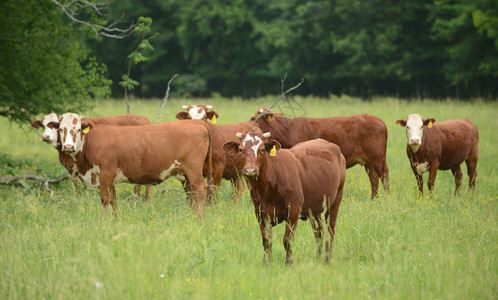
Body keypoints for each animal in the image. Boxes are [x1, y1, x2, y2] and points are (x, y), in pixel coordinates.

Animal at [50, 112, 212, 218]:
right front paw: (115, 221)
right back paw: (191, 216)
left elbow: (105, 199)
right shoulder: (110, 178)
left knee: (200, 189)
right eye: (60, 129)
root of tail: (197, 123)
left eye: (78, 129)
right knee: (192, 192)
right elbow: (113, 200)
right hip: (187, 174)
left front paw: (102, 222)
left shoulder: (105, 173)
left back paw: (198, 218)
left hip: (193, 170)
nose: (69, 147)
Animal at [223, 132, 346, 264]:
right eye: (241, 149)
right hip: (314, 207)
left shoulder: (293, 211)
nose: (250, 170)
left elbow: (288, 240)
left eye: (262, 149)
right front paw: (266, 263)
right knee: (319, 231)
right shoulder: (260, 213)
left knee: (330, 230)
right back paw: (318, 258)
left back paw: (327, 259)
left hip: (336, 199)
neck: (266, 189)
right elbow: (267, 241)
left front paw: (289, 263)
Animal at [253, 109, 390, 198]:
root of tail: (379, 120)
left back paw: (387, 196)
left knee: (383, 174)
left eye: (253, 118)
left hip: (378, 158)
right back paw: (374, 198)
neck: (288, 129)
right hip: (370, 161)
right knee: (374, 178)